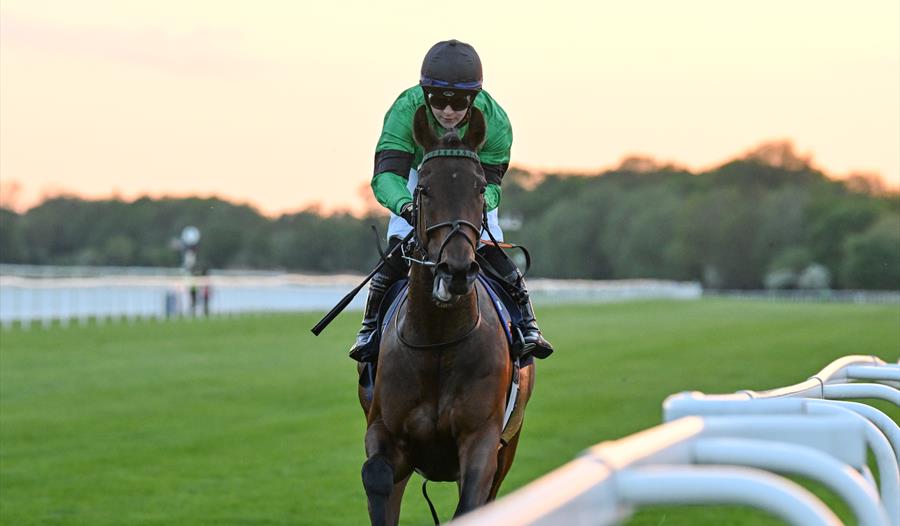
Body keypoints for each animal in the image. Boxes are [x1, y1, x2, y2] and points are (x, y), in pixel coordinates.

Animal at [358, 105, 536, 524]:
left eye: (478, 188)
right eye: (424, 188)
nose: (455, 270)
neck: (438, 341)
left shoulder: (483, 440)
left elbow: (471, 504)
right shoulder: (385, 432)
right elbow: (376, 476)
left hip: (510, 442)